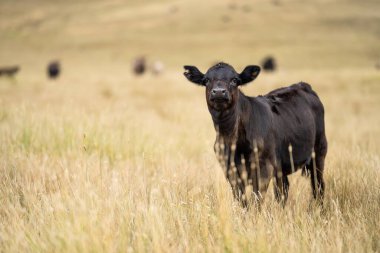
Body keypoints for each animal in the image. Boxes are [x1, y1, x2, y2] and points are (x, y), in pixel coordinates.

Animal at [183, 62, 326, 206]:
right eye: (206, 80)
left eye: (235, 80)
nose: (219, 92)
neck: (232, 138)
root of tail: (302, 85)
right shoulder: (230, 171)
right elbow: (242, 201)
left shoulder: (264, 169)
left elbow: (256, 201)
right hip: (281, 164)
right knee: (282, 190)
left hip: (319, 152)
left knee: (318, 186)